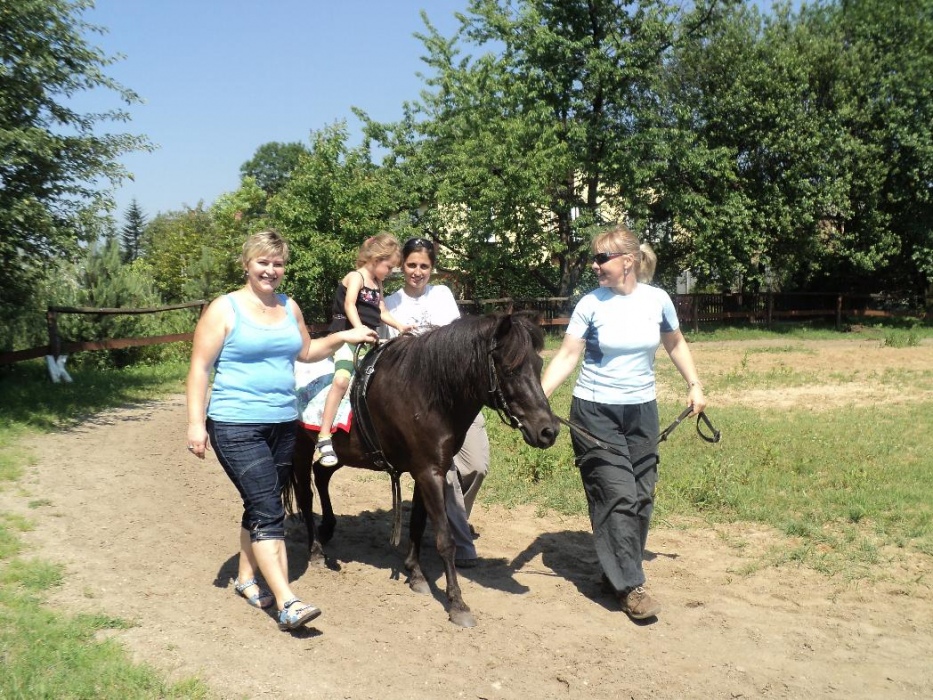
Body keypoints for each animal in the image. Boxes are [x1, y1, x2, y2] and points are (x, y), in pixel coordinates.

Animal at [286, 311, 559, 627]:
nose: (549, 431)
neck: (424, 392)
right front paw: (457, 603)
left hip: (340, 451)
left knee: (322, 476)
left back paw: (328, 528)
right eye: (510, 370)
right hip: (301, 448)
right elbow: (444, 539)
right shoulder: (429, 472)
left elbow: (417, 523)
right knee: (306, 496)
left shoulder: (426, 470)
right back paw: (316, 551)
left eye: (538, 365)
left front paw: (415, 574)